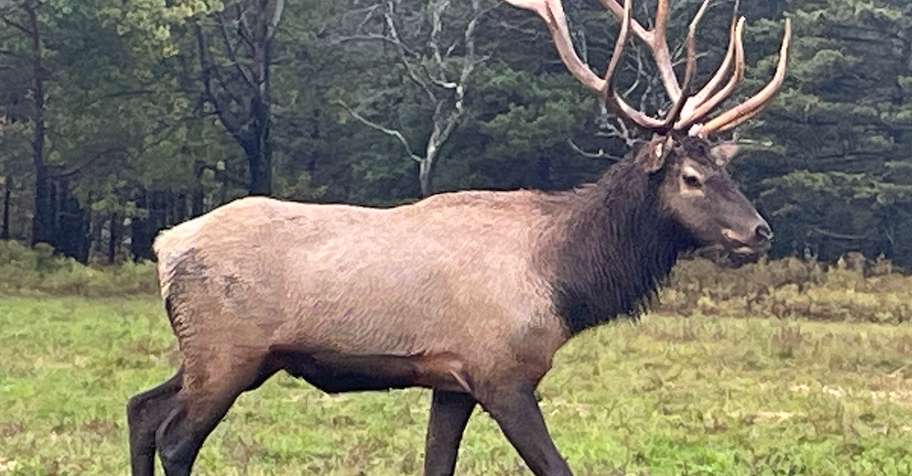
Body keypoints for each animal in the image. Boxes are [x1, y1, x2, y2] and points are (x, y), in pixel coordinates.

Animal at [127, 0, 791, 474]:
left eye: (726, 168)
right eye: (692, 177)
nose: (759, 231)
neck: (563, 285)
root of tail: (164, 244)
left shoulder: (452, 381)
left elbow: (436, 464)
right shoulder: (501, 372)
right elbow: (555, 467)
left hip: (223, 355)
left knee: (140, 410)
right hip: (228, 351)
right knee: (175, 437)